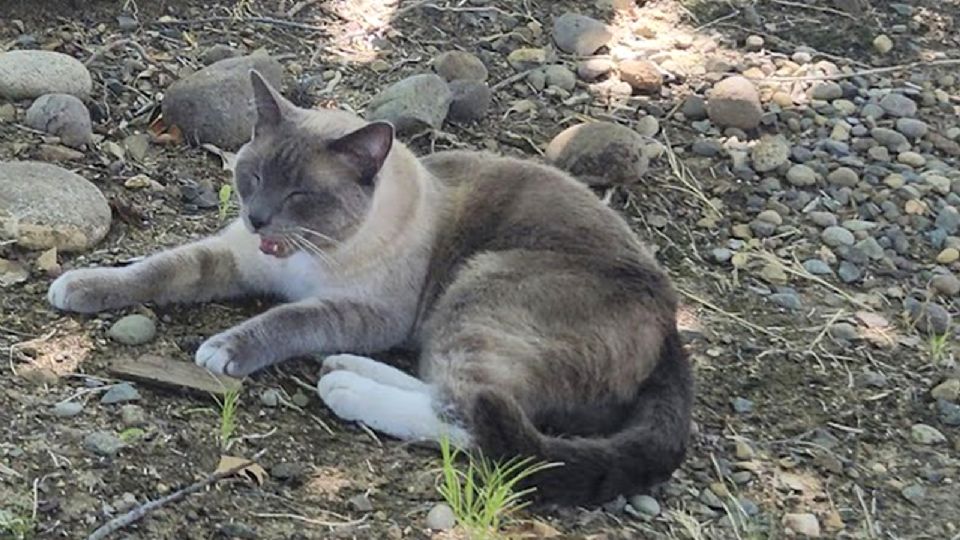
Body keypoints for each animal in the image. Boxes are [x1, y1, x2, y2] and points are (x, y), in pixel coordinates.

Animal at [48, 71, 692, 506]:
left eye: (300, 194)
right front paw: (77, 286)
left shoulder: (364, 313)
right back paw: (345, 369)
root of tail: (671, 323)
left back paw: (345, 389)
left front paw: (224, 350)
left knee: (474, 418)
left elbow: (285, 320)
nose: (257, 218)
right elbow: (156, 270)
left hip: (478, 291)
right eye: (252, 176)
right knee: (456, 392)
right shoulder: (234, 257)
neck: (302, 257)